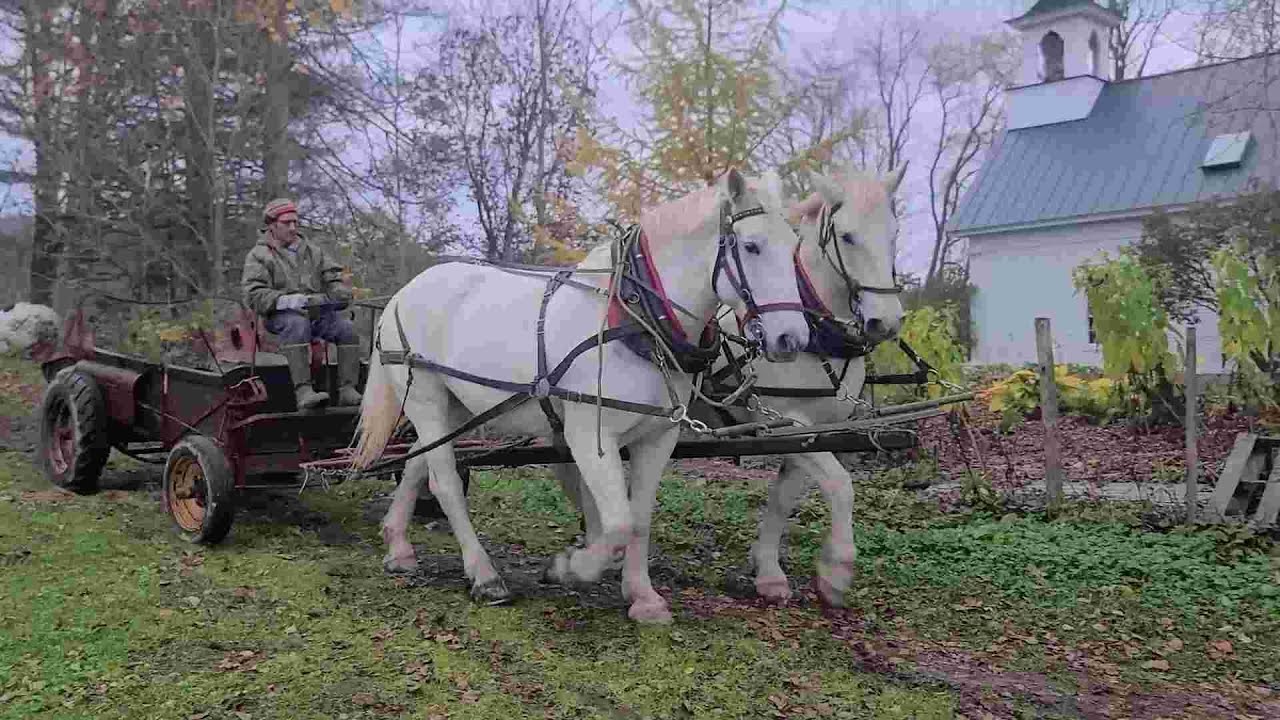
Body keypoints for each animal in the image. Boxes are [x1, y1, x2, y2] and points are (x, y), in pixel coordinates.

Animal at [350, 168, 810, 624]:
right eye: (751, 246)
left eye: (794, 248)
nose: (792, 338)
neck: (634, 319)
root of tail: (401, 294)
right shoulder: (591, 437)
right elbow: (618, 523)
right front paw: (570, 567)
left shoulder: (657, 438)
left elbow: (639, 519)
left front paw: (643, 596)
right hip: (425, 398)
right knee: (444, 481)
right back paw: (484, 575)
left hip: (457, 407)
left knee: (417, 464)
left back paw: (399, 547)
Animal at [560, 165, 906, 609]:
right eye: (847, 236)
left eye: (894, 234)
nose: (887, 321)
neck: (817, 335)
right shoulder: (786, 421)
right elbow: (840, 484)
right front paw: (836, 571)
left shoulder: (813, 431)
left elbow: (784, 499)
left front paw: (769, 571)